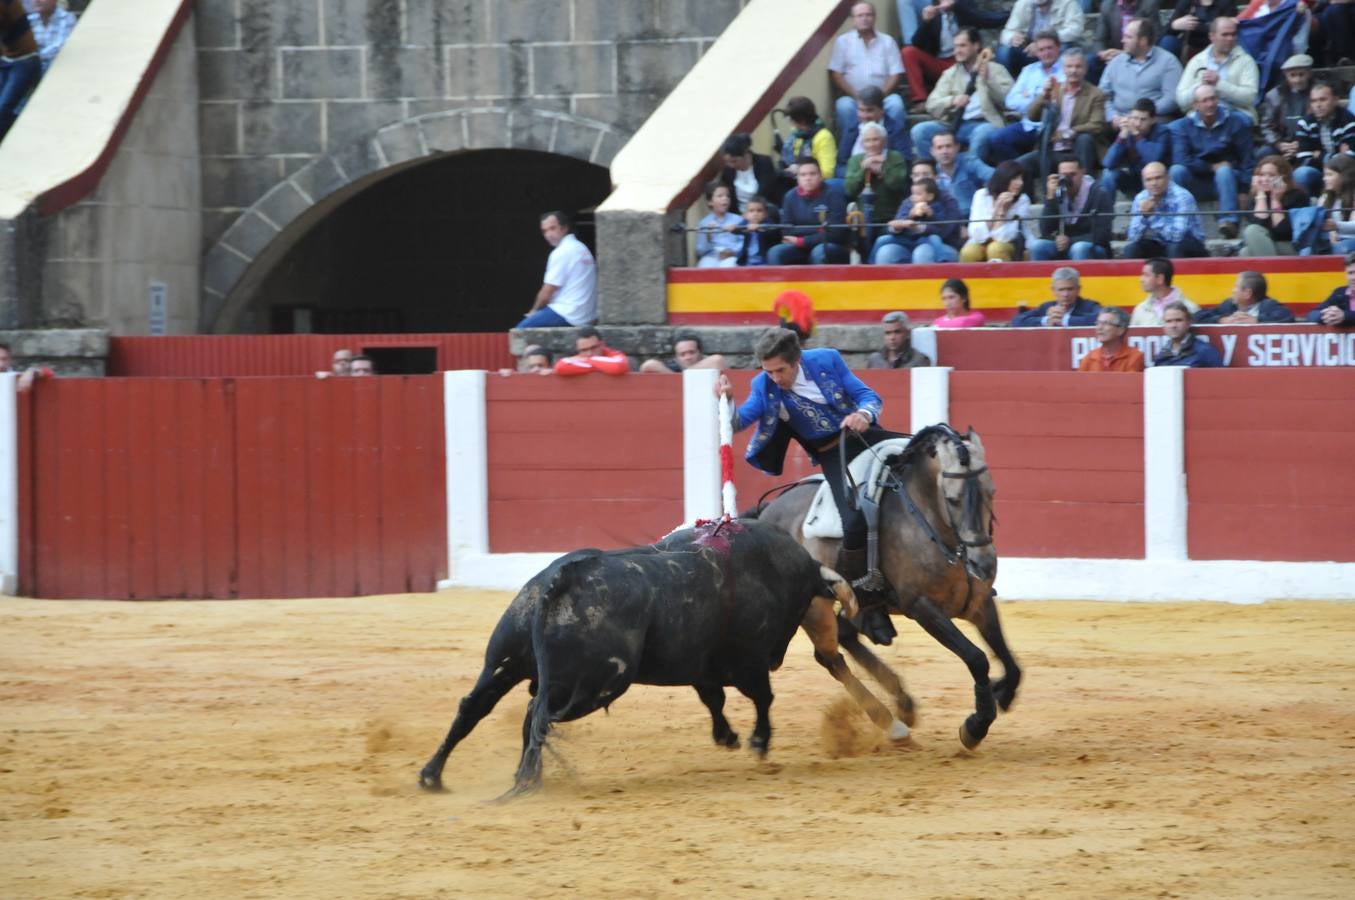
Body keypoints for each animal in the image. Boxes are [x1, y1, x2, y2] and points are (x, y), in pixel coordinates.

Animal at [417, 520, 850, 796]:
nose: (779, 657)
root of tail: (560, 579)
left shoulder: (703, 666)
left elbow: (714, 700)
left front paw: (726, 736)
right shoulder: (748, 662)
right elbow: (762, 697)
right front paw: (758, 742)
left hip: (505, 662)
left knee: (476, 708)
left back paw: (433, 777)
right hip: (597, 684)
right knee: (537, 715)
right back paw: (525, 779)